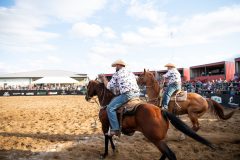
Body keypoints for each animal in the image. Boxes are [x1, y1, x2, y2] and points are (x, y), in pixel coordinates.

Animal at [85, 79, 213, 159]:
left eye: (87, 86)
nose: (86, 97)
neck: (107, 102)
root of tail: (161, 111)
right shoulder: (110, 125)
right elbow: (110, 137)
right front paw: (114, 150)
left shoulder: (104, 124)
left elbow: (106, 138)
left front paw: (105, 154)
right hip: (159, 139)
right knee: (166, 153)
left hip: (155, 139)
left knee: (170, 154)